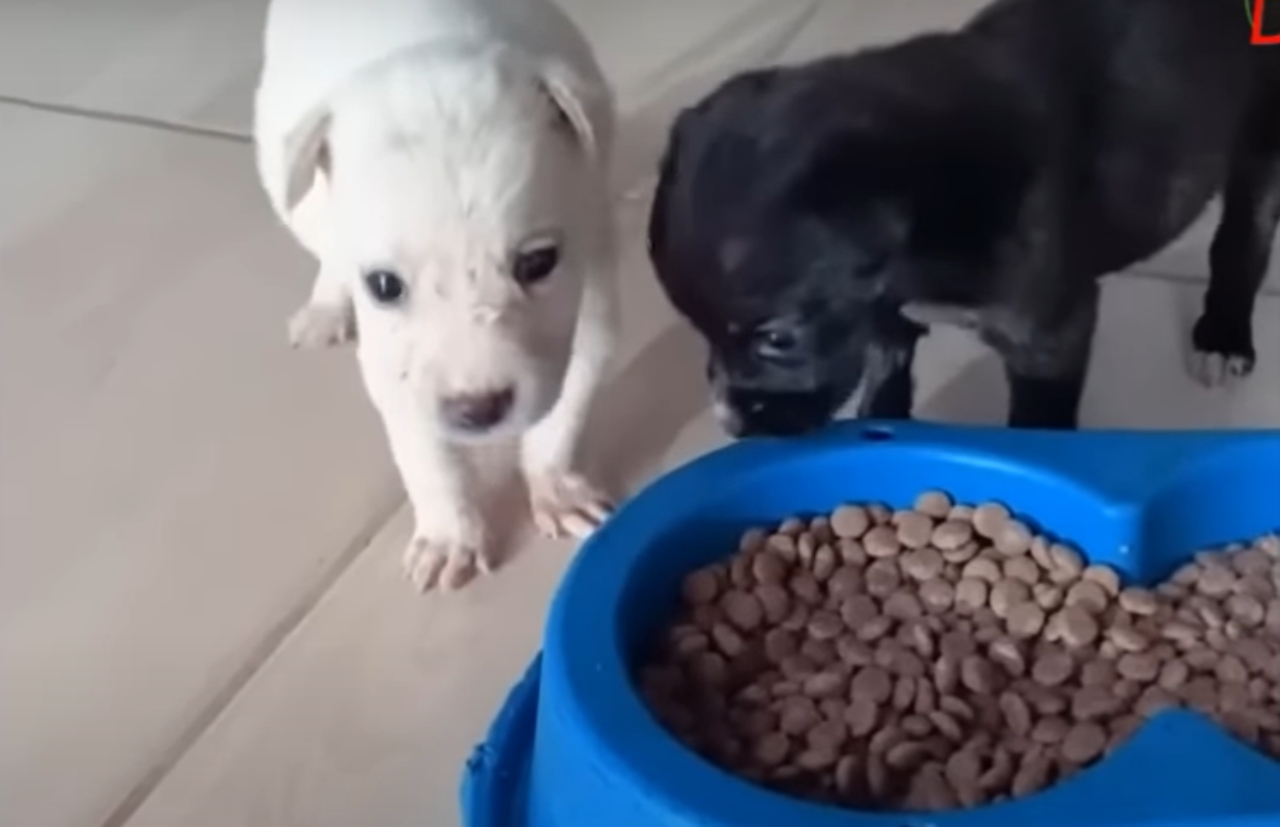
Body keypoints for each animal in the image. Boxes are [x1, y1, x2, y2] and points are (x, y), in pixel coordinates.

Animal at [253, 1, 614, 596]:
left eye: (538, 263)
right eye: (384, 286)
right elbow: (426, 456)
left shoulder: (593, 298)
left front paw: (557, 488)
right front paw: (450, 535)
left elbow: (565, 411)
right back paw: (326, 306)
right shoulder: (394, 368)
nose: (477, 411)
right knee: (323, 240)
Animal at [650, 0, 1280, 437]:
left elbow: (1037, 422)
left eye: (779, 338)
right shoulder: (882, 313)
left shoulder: (1048, 336)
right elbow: (885, 375)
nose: (732, 426)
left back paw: (1223, 335)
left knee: (1242, 236)